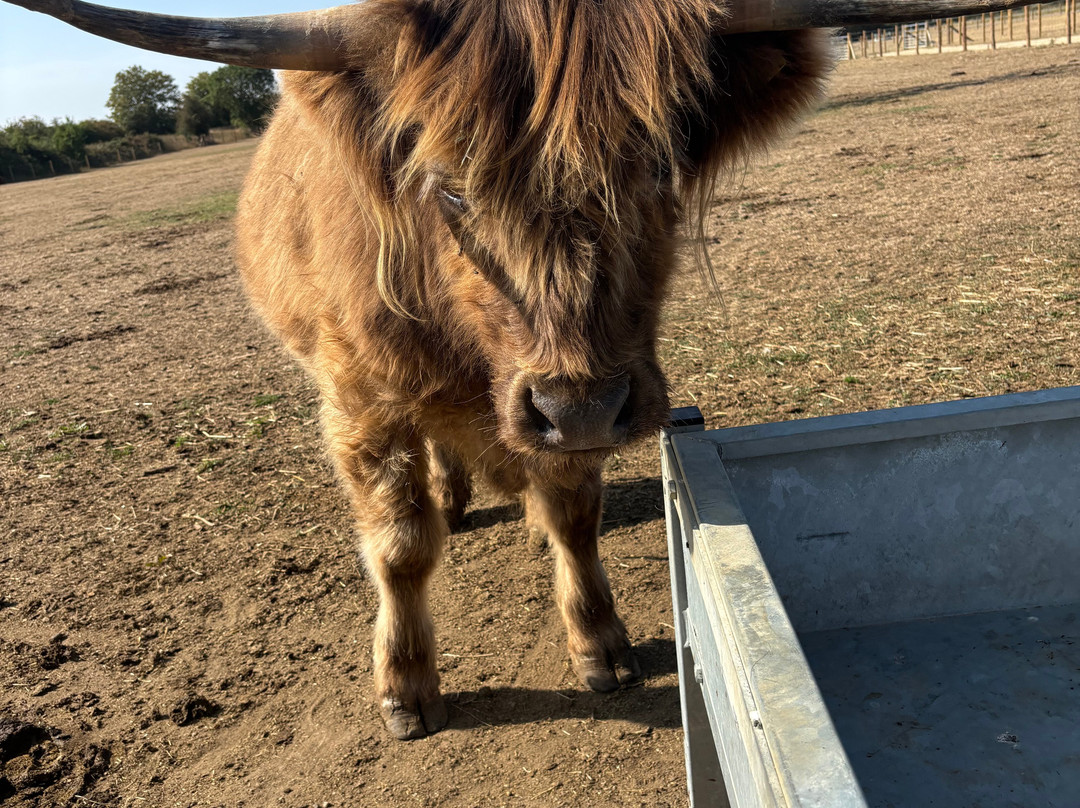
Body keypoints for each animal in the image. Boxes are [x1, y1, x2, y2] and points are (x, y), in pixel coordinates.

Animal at [5, 0, 1041, 740]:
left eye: (657, 169)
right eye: (450, 186)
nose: (578, 405)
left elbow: (572, 516)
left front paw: (601, 645)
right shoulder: (360, 398)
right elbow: (399, 547)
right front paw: (406, 689)